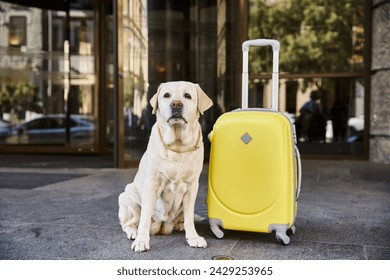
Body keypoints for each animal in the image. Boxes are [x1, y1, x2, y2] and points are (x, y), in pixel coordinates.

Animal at [118, 80, 213, 252]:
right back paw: (133, 232)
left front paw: (193, 237)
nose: (176, 104)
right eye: (166, 95)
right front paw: (141, 241)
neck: (178, 147)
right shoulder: (152, 184)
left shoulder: (192, 187)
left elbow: (190, 217)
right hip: (127, 197)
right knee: (129, 223)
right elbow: (144, 218)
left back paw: (180, 226)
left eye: (187, 96)